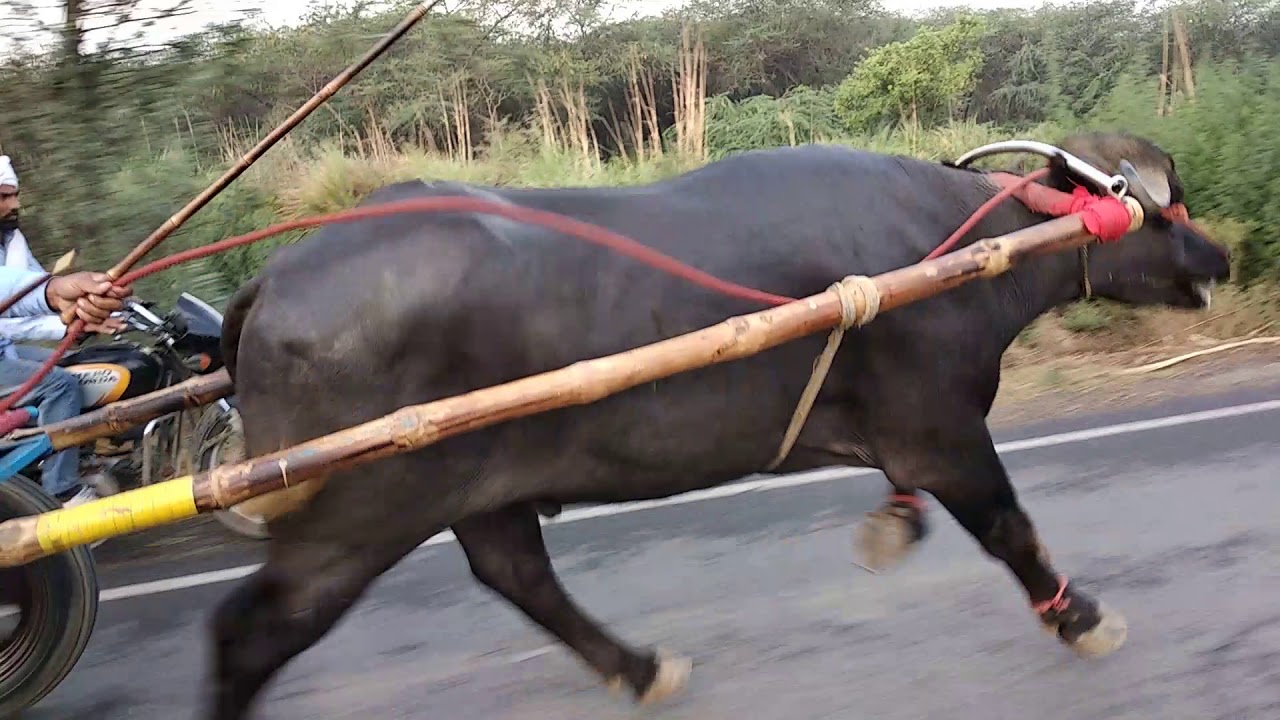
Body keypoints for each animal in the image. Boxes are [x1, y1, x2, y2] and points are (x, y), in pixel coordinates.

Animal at [208, 131, 1231, 719]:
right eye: (1163, 201)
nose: (1217, 253)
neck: (965, 249)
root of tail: (276, 281)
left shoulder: (909, 437)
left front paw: (894, 526)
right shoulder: (942, 430)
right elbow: (1012, 529)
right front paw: (1081, 619)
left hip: (476, 489)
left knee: (516, 574)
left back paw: (639, 667)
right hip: (358, 515)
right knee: (250, 629)